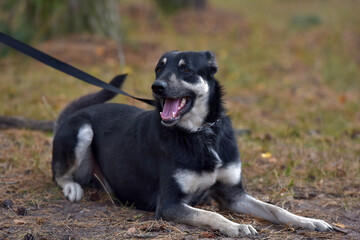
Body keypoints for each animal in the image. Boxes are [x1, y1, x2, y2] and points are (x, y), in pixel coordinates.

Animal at [52, 50, 334, 236]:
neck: (200, 133)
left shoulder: (233, 194)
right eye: (159, 68)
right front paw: (236, 226)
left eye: (186, 69)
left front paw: (308, 221)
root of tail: (71, 116)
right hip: (82, 129)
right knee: (60, 174)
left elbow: (275, 209)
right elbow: (212, 214)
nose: (156, 87)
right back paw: (72, 188)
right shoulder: (169, 204)